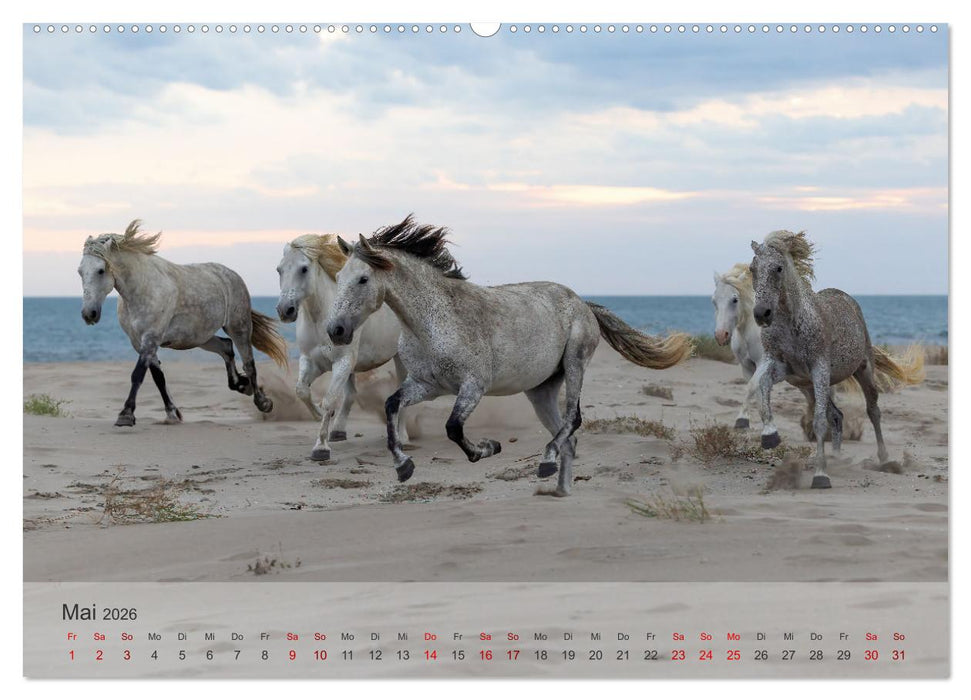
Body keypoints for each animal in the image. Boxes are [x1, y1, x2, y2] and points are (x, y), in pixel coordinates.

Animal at [79, 220, 288, 426]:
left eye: (100, 270)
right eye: (80, 272)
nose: (89, 314)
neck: (142, 289)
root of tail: (231, 274)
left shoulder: (151, 338)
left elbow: (138, 374)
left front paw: (126, 415)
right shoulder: (139, 343)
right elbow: (158, 377)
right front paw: (172, 414)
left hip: (238, 327)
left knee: (249, 363)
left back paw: (263, 402)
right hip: (200, 337)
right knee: (226, 347)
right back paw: (241, 385)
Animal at [276, 234, 409, 461]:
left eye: (304, 269)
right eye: (279, 269)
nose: (285, 310)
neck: (321, 318)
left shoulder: (342, 362)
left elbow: (330, 400)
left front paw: (321, 448)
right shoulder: (311, 360)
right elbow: (301, 391)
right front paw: (318, 415)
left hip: (399, 357)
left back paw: (403, 438)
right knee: (351, 394)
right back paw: (338, 430)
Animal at [325, 215, 694, 496]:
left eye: (362, 279)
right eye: (339, 277)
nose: (336, 330)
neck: (432, 320)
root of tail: (583, 303)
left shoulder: (473, 386)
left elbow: (453, 428)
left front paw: (487, 449)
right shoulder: (427, 386)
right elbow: (391, 406)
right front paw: (404, 467)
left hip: (575, 364)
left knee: (574, 421)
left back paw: (546, 463)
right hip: (541, 390)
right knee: (568, 437)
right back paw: (558, 486)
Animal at [712, 264, 866, 441]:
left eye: (734, 299)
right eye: (714, 301)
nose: (721, 335)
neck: (750, 331)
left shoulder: (764, 364)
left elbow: (751, 387)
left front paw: (742, 421)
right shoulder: (746, 366)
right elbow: (757, 393)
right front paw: (768, 428)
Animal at [749, 230, 924, 488]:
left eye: (778, 268)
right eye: (752, 268)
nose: (762, 314)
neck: (793, 324)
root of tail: (847, 298)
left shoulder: (819, 369)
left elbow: (819, 422)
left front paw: (821, 476)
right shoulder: (786, 370)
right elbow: (763, 387)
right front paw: (770, 436)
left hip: (863, 371)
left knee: (873, 411)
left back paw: (883, 460)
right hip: (808, 387)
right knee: (837, 416)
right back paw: (837, 459)